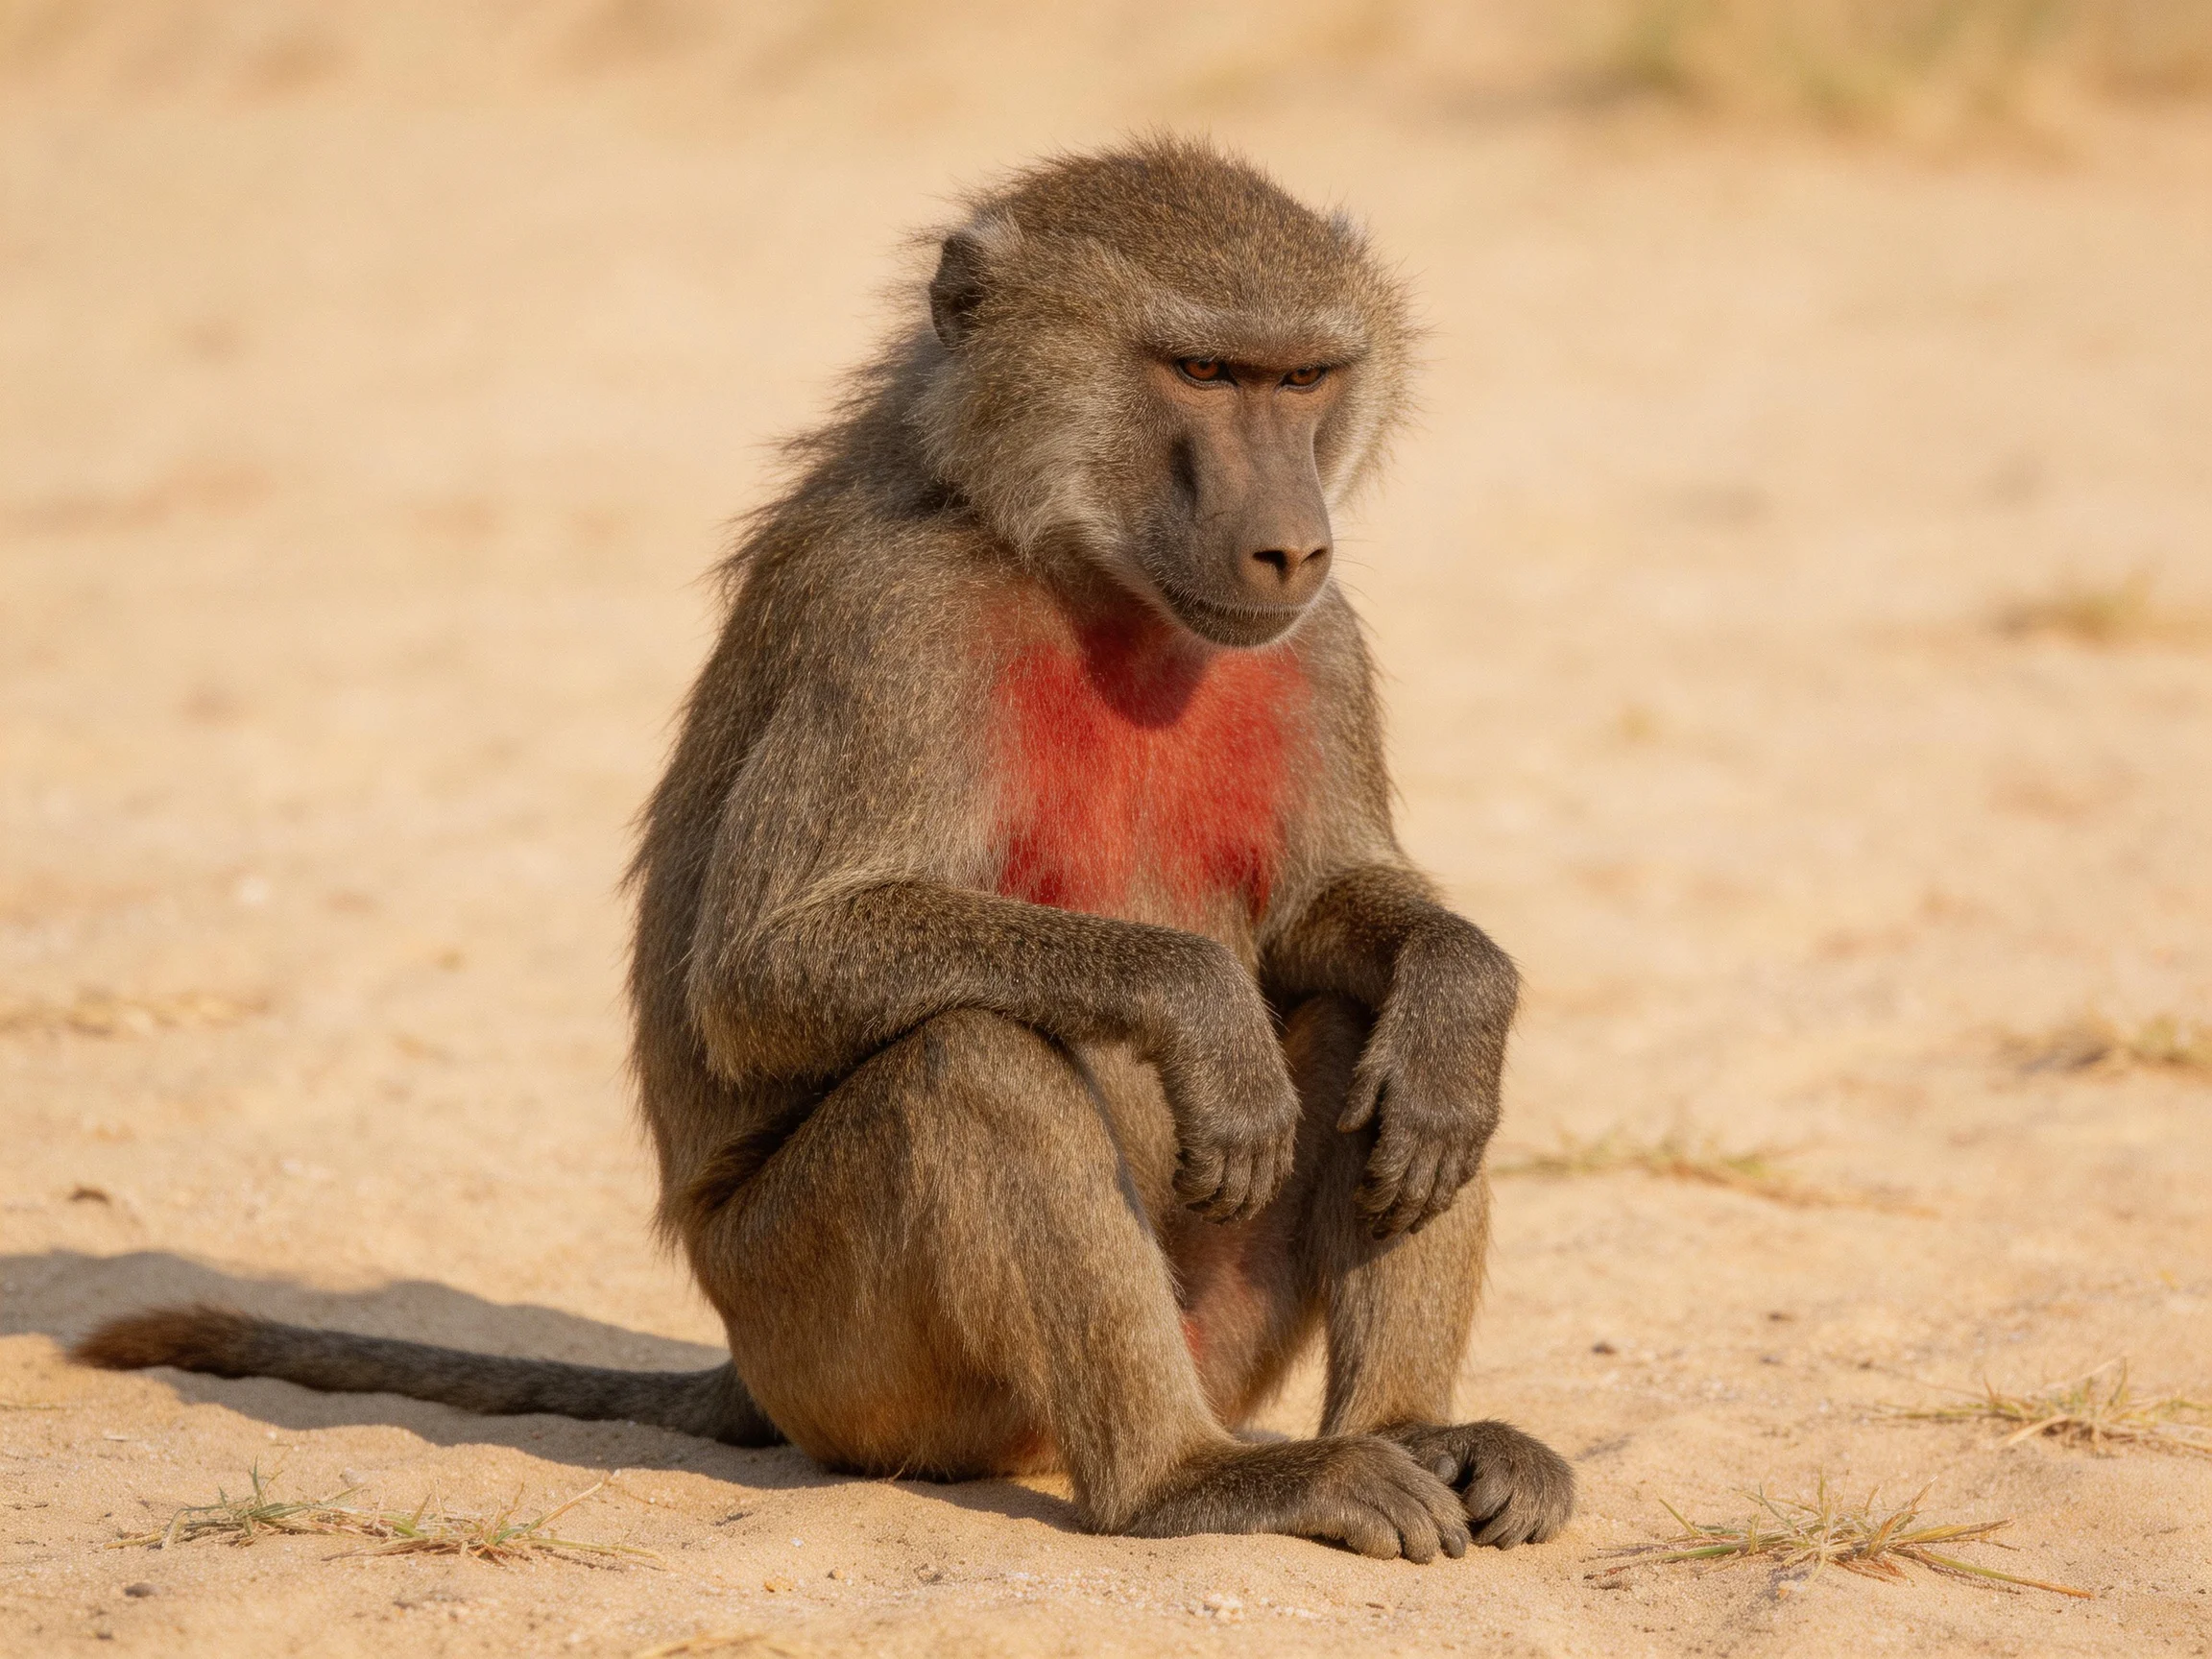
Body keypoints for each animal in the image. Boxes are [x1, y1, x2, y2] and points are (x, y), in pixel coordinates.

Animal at [77, 138, 1576, 1560]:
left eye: (1304, 378)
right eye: (1203, 372)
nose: (1291, 546)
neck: (1092, 578)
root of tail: (745, 1369)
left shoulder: (1325, 646)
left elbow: (1341, 921)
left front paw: (1460, 992)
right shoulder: (893, 622)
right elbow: (763, 966)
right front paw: (1204, 1015)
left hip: (1206, 1332)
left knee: (1374, 1032)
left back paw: (1422, 1421)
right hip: (830, 1351)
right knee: (972, 1063)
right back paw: (1185, 1482)